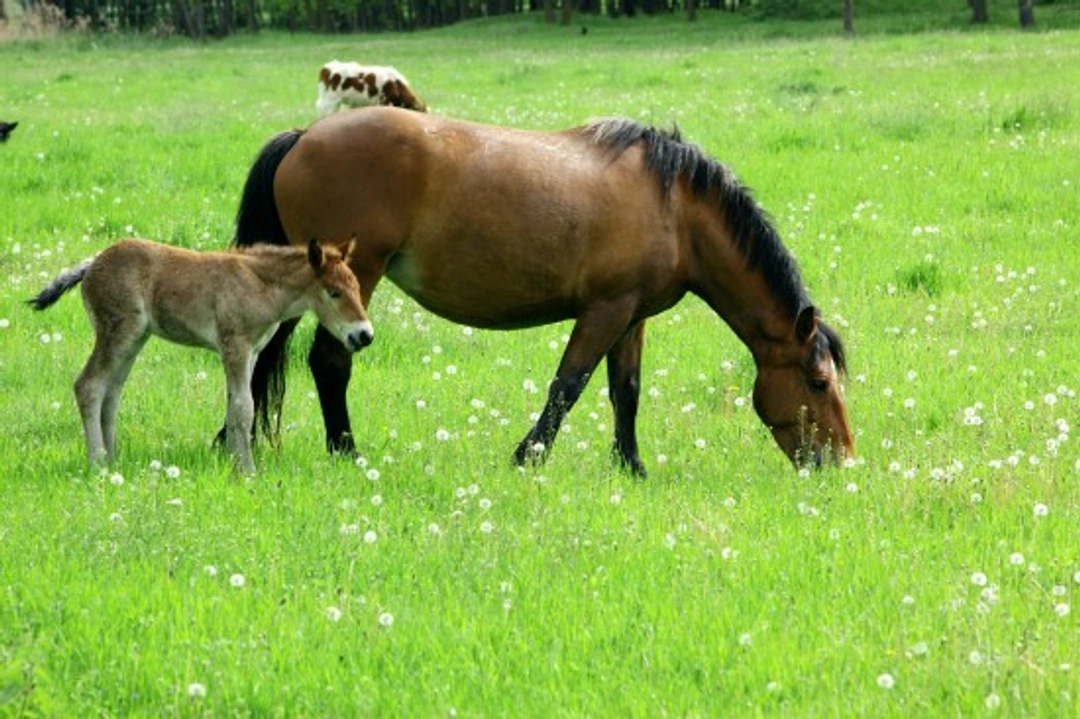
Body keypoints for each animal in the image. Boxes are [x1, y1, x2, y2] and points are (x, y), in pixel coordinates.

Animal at [29, 238, 374, 474]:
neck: (260, 285)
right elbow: (244, 406)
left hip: (134, 339)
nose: (364, 335)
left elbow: (235, 406)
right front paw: (248, 471)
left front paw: (235, 465)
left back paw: (113, 462)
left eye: (357, 287)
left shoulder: (251, 353)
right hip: (118, 333)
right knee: (89, 386)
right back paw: (99, 464)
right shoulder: (235, 346)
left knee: (111, 394)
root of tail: (92, 263)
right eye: (333, 292)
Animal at [232, 107, 854, 475]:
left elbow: (626, 391)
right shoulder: (605, 310)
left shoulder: (633, 316)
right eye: (818, 383)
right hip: (351, 279)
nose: (842, 464)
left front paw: (632, 468)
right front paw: (527, 457)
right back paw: (347, 453)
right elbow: (568, 386)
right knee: (330, 361)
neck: (675, 207)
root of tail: (304, 137)